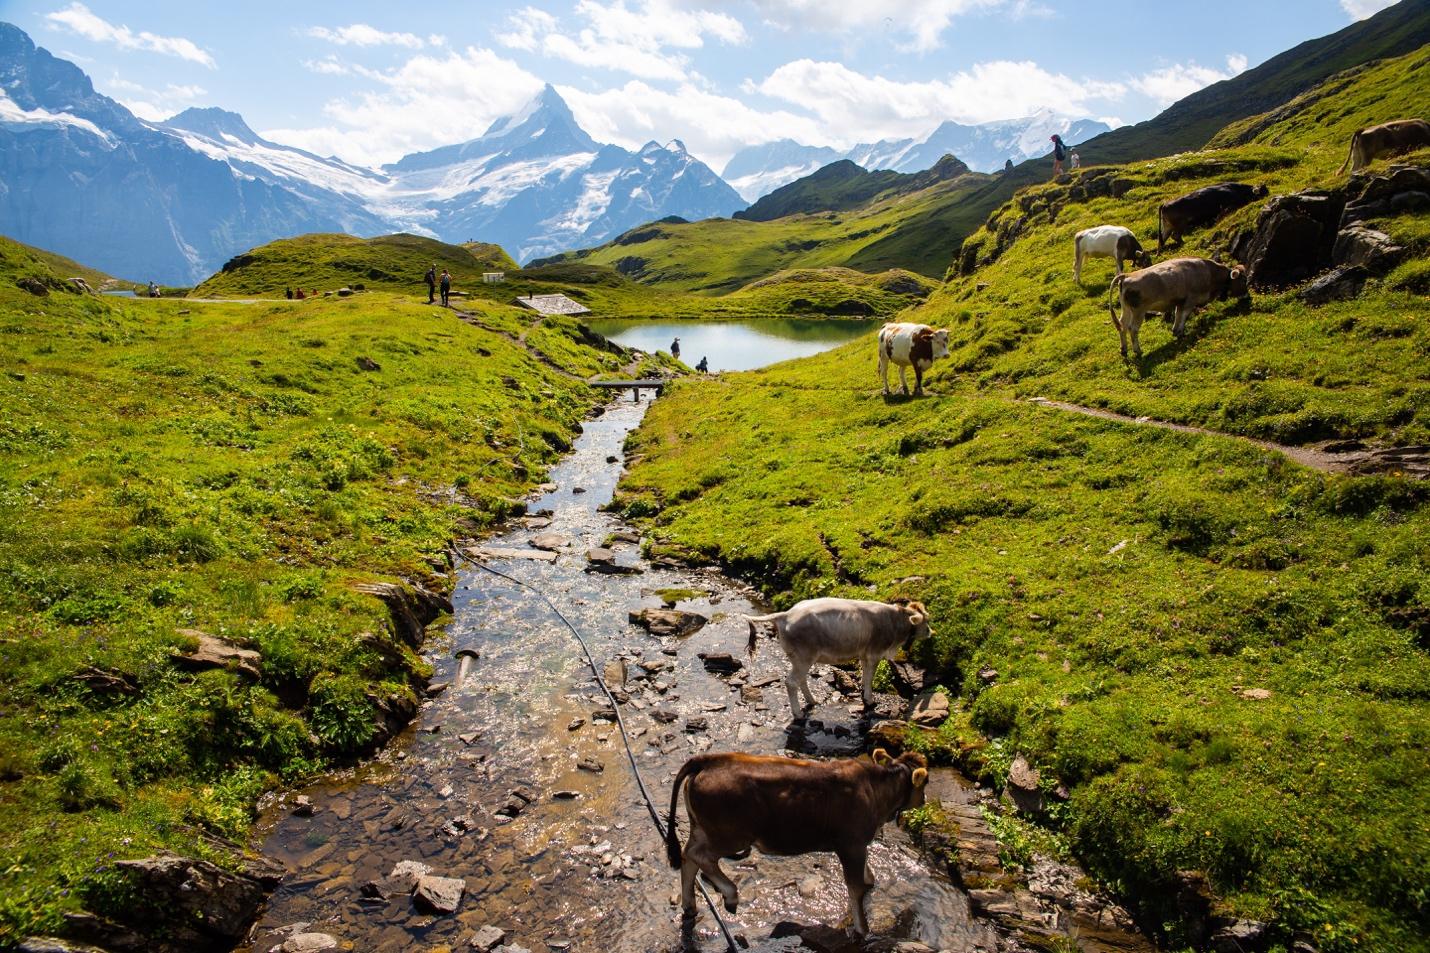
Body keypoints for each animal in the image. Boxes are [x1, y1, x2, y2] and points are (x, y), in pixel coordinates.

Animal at [666, 744, 926, 932]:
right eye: (925, 783)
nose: (923, 801)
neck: (875, 791)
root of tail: (709, 760)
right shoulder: (851, 845)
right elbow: (855, 888)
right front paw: (863, 929)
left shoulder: (859, 846)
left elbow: (865, 876)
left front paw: (871, 879)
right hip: (730, 835)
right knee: (699, 856)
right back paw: (730, 895)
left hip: (702, 828)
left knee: (688, 857)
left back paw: (690, 905)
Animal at [743, 598, 932, 715]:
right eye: (926, 621)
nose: (931, 632)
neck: (894, 622)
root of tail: (785, 614)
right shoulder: (874, 653)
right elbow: (870, 677)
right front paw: (870, 700)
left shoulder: (865, 655)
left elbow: (865, 675)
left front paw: (864, 693)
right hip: (804, 656)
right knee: (791, 682)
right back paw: (798, 713)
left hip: (798, 658)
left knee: (800, 680)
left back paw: (812, 700)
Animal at [1109, 256, 1246, 360]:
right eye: (1243, 280)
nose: (1246, 296)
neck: (1208, 272)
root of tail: (1127, 275)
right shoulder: (1191, 299)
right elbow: (1184, 314)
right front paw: (1180, 331)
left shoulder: (1180, 301)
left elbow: (1178, 314)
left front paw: (1175, 330)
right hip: (1139, 311)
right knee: (1132, 329)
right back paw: (1137, 350)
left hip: (1126, 309)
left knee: (1122, 325)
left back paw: (1124, 349)